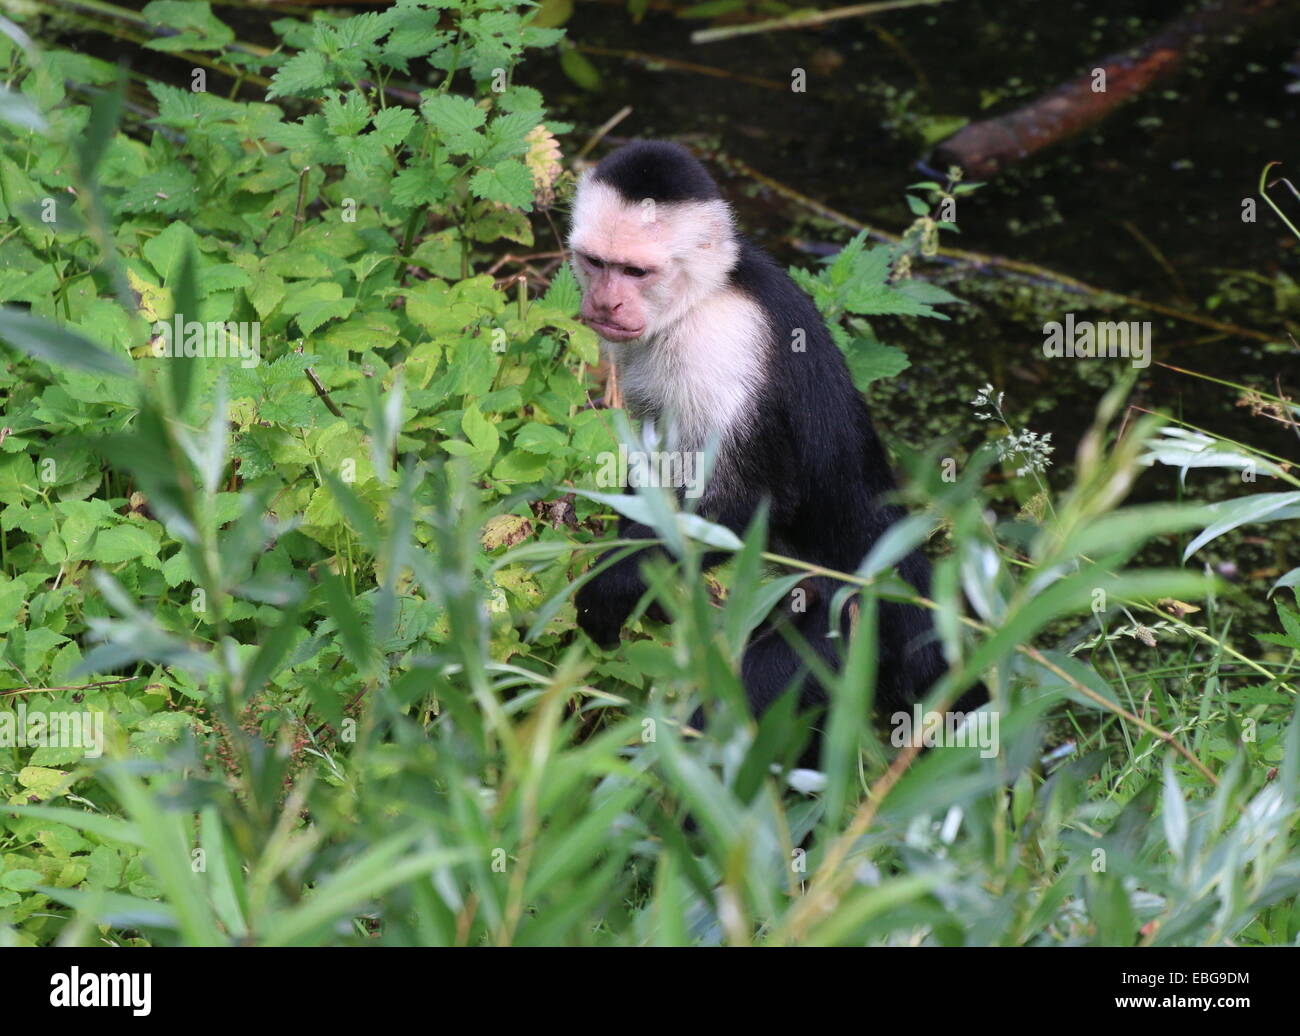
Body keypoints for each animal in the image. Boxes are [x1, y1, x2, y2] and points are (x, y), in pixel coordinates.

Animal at [569, 141, 982, 748]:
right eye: (596, 263)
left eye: (636, 271)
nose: (605, 304)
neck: (706, 294)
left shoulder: (719, 347)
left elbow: (749, 505)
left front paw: (614, 584)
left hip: (846, 629)